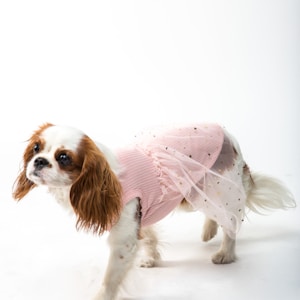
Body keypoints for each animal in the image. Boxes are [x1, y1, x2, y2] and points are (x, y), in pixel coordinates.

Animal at [13, 122, 296, 300]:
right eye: (36, 148)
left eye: (63, 158)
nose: (39, 161)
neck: (107, 179)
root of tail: (229, 136)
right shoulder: (140, 214)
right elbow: (148, 236)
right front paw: (152, 258)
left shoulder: (123, 238)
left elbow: (110, 277)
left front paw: (100, 297)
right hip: (194, 190)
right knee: (215, 212)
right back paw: (209, 230)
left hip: (217, 185)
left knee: (231, 220)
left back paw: (225, 253)